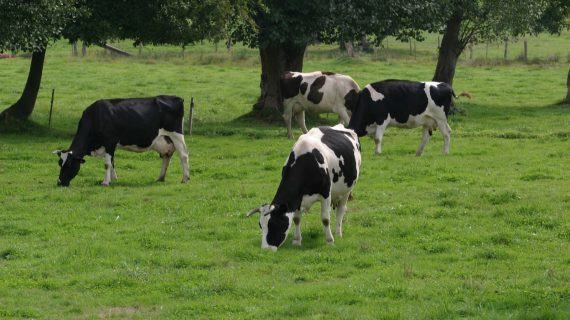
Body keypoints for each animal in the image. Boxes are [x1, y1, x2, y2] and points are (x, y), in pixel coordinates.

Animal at [52, 95, 189, 186]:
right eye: (59, 163)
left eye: (69, 164)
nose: (59, 182)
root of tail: (177, 98)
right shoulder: (110, 146)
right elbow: (112, 162)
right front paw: (113, 179)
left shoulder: (109, 142)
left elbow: (107, 164)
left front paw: (105, 182)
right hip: (166, 140)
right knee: (167, 156)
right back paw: (160, 178)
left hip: (176, 134)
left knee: (184, 155)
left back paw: (185, 179)